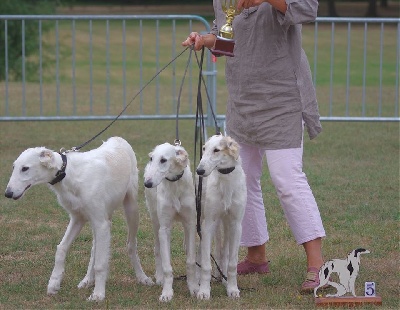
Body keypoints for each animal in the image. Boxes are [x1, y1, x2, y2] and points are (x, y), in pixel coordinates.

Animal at [4, 137, 153, 302]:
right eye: (14, 167)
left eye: (25, 168)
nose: (7, 194)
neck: (69, 174)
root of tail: (117, 138)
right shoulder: (78, 219)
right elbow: (61, 248)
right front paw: (54, 283)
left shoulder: (100, 223)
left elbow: (100, 264)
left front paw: (98, 294)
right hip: (101, 220)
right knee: (95, 249)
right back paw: (87, 280)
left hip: (130, 209)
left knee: (130, 245)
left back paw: (142, 277)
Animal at [145, 143, 199, 302]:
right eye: (152, 158)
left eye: (163, 160)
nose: (147, 183)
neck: (174, 184)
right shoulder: (164, 228)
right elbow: (167, 266)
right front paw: (167, 292)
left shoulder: (190, 223)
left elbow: (190, 260)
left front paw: (194, 288)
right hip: (155, 220)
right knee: (157, 250)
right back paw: (160, 277)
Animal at [195, 134, 245, 300]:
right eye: (204, 149)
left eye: (216, 150)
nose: (199, 170)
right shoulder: (208, 223)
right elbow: (205, 264)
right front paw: (204, 291)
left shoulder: (236, 224)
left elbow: (232, 263)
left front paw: (232, 288)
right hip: (203, 221)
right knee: (201, 252)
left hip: (226, 225)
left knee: (224, 252)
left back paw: (223, 278)